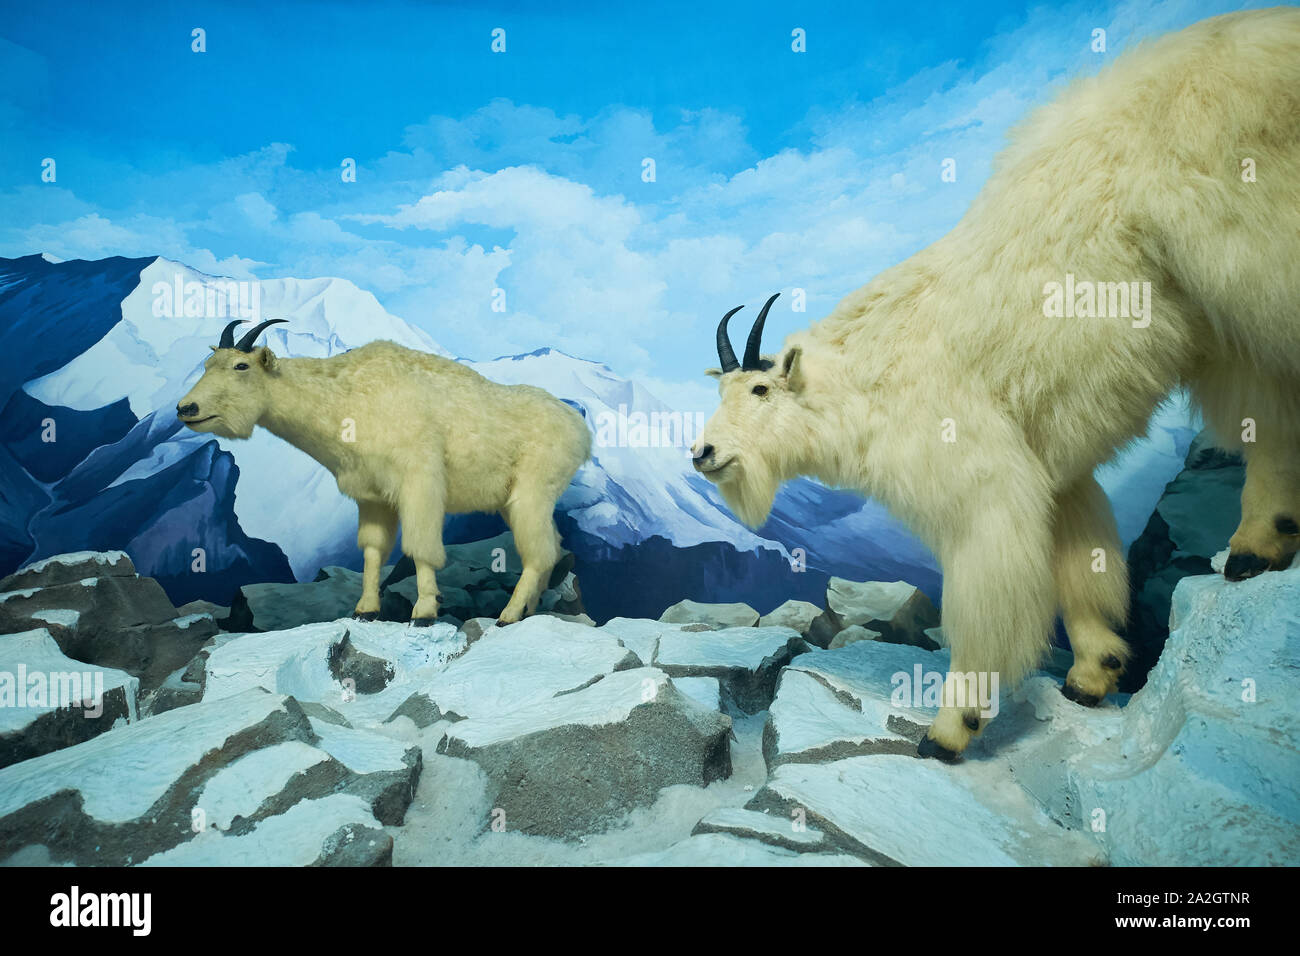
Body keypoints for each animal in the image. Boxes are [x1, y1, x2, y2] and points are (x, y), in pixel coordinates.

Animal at [176, 321, 590, 629]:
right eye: (207, 366)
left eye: (241, 367)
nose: (186, 408)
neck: (345, 398)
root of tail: (582, 431)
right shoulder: (372, 496)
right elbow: (373, 550)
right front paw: (365, 610)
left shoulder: (419, 481)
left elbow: (421, 547)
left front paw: (424, 612)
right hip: (514, 500)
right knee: (553, 547)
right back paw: (531, 609)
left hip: (532, 492)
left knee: (538, 553)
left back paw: (508, 614)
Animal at [691, 5, 1300, 754]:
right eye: (718, 392)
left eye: (759, 390)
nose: (703, 453)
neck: (870, 378)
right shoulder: (1055, 475)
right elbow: (1078, 566)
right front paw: (1094, 674)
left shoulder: (981, 484)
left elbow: (986, 603)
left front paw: (950, 729)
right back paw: (1264, 539)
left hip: (1245, 256)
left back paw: (1251, 545)